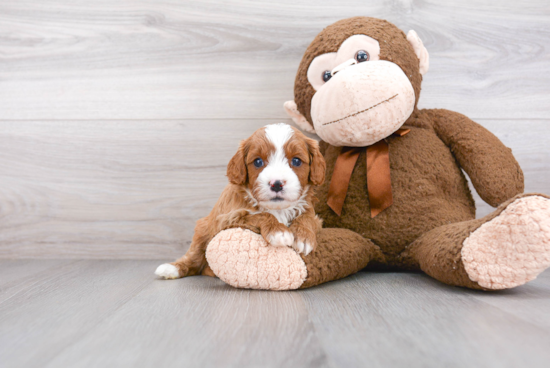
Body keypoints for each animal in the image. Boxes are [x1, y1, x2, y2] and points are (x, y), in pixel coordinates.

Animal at [155, 123, 326, 278]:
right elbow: (258, 215)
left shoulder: (312, 213)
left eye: (296, 161)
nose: (276, 184)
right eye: (258, 162)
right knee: (193, 258)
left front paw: (303, 237)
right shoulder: (227, 219)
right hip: (202, 229)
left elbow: (307, 218)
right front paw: (278, 231)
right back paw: (171, 269)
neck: (278, 209)